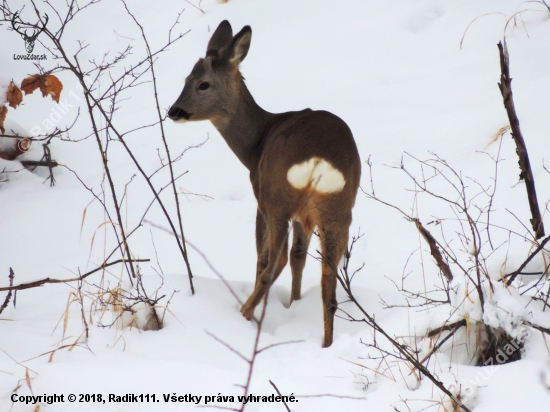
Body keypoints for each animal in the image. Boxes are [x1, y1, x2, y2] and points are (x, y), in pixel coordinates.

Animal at [170, 20, 364, 346]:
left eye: (202, 84)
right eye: (185, 78)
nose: (173, 111)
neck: (255, 145)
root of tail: (319, 159)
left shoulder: (260, 196)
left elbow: (265, 258)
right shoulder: (305, 215)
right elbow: (300, 257)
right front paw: (294, 304)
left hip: (277, 198)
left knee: (274, 261)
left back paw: (244, 314)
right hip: (338, 208)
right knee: (328, 282)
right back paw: (326, 343)